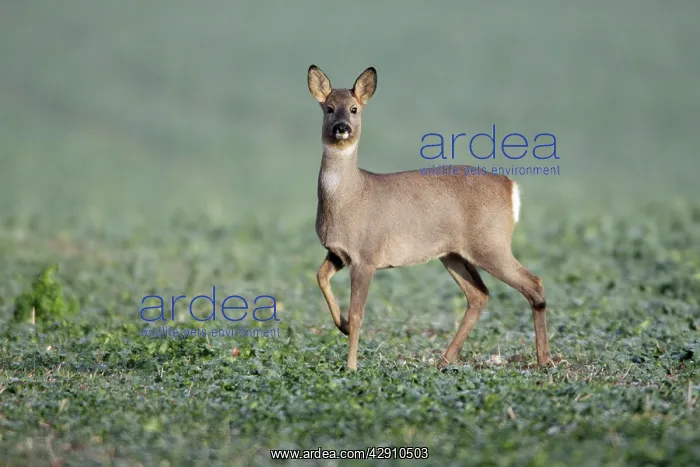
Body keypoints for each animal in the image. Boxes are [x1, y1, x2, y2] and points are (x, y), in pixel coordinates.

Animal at [308, 65, 553, 370]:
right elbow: (320, 277)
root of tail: (511, 186)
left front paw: (351, 366)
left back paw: (545, 360)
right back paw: (444, 360)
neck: (349, 196)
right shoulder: (339, 252)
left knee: (533, 284)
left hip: (491, 243)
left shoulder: (367, 256)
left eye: (354, 109)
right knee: (479, 294)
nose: (342, 128)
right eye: (329, 108)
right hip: (453, 253)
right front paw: (340, 325)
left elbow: (358, 313)